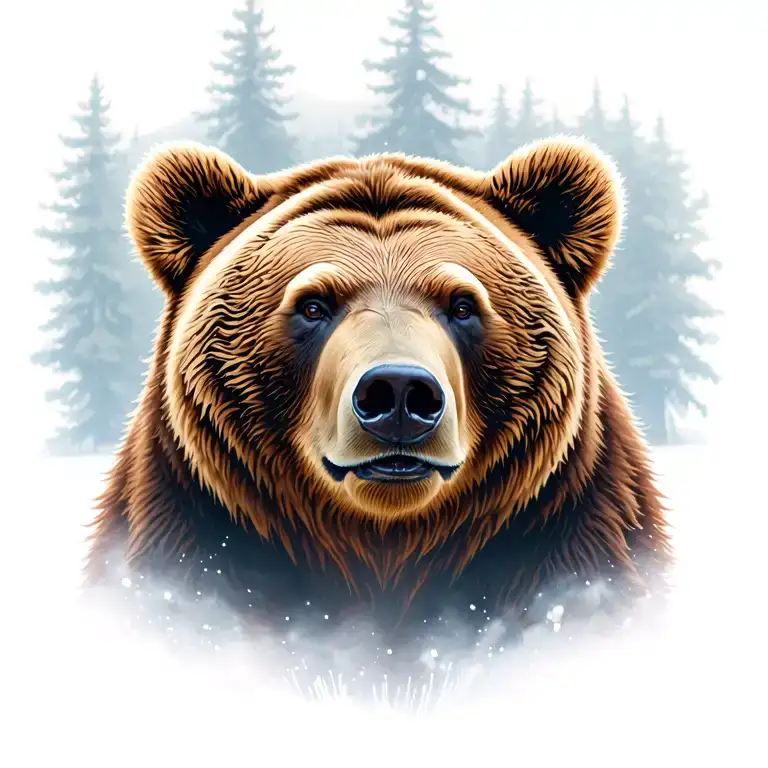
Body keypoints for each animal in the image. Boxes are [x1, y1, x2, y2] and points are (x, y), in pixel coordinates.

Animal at [84, 137, 671, 683]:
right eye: (312, 304)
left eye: (462, 304)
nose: (398, 392)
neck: (383, 544)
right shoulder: (191, 537)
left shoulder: (575, 533)